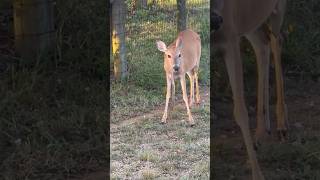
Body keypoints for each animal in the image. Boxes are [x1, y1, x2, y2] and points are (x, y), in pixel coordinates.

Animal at [214, 0, 288, 180]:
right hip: (251, 22)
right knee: (262, 44)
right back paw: (260, 134)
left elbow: (240, 111)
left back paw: (281, 125)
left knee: (276, 40)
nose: (216, 20)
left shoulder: (230, 37)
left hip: (277, 10)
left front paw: (258, 174)